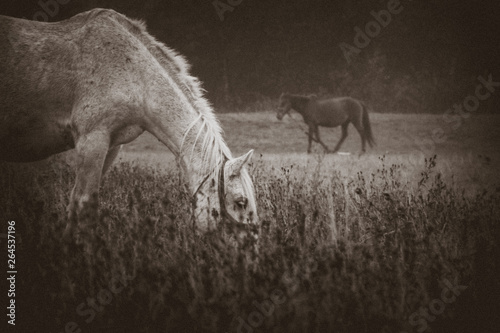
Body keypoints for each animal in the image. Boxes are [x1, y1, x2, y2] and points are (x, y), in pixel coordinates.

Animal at [0, 7, 258, 236]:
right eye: (241, 202)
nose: (251, 249)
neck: (134, 74)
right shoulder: (92, 141)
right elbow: (84, 204)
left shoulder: (111, 146)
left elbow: (76, 202)